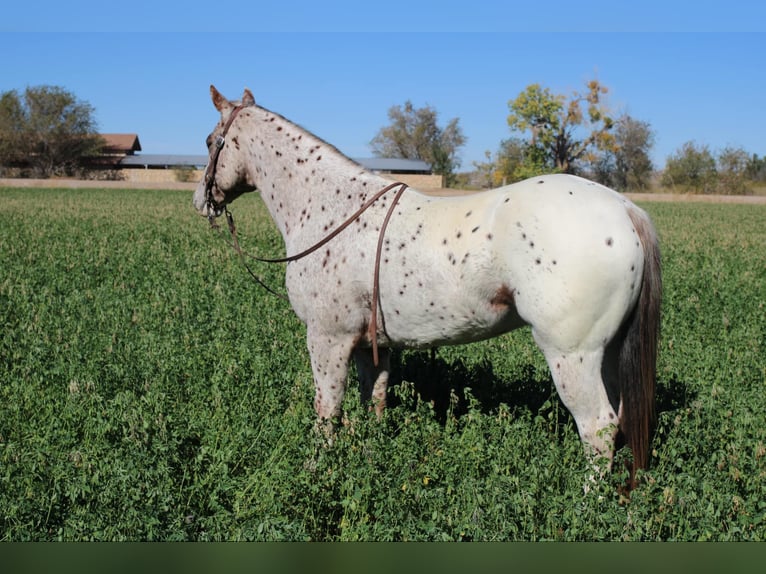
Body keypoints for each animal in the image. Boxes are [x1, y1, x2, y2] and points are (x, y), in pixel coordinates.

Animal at [192, 86, 661, 488]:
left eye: (211, 140)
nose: (201, 202)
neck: (332, 209)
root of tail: (624, 209)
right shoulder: (370, 345)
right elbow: (374, 400)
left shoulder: (328, 339)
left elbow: (327, 411)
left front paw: (317, 470)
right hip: (606, 352)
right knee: (619, 418)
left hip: (572, 355)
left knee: (598, 427)